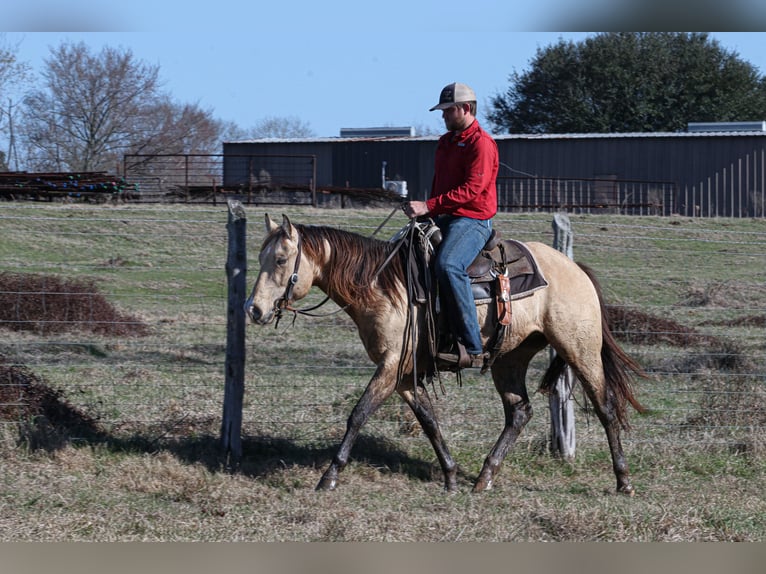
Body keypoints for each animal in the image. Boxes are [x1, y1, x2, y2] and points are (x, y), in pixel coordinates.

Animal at [246, 215, 648, 496]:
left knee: (605, 407)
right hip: (510, 358)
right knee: (519, 412)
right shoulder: (403, 374)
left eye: (280, 259)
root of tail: (575, 268)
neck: (382, 286)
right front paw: (452, 476)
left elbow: (358, 414)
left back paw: (623, 480)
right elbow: (429, 420)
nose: (254, 309)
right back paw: (484, 477)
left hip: (580, 349)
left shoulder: (389, 367)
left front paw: (329, 477)